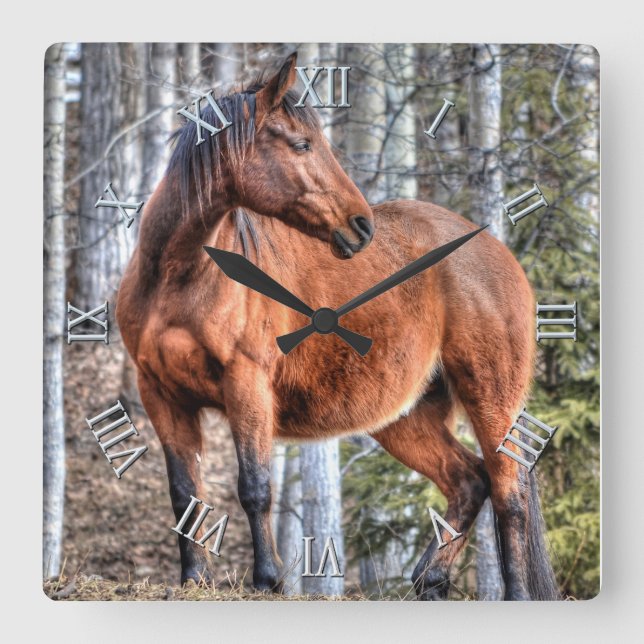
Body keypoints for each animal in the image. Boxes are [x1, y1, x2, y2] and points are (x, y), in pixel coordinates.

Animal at [117, 53, 559, 600]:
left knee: (507, 492)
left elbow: (254, 487)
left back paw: (512, 592)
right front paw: (195, 579)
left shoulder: (247, 386)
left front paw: (268, 581)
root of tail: (493, 249)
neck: (178, 279)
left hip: (490, 395)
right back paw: (428, 579)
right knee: (468, 481)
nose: (361, 226)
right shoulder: (160, 394)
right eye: (302, 144)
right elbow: (185, 494)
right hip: (406, 416)